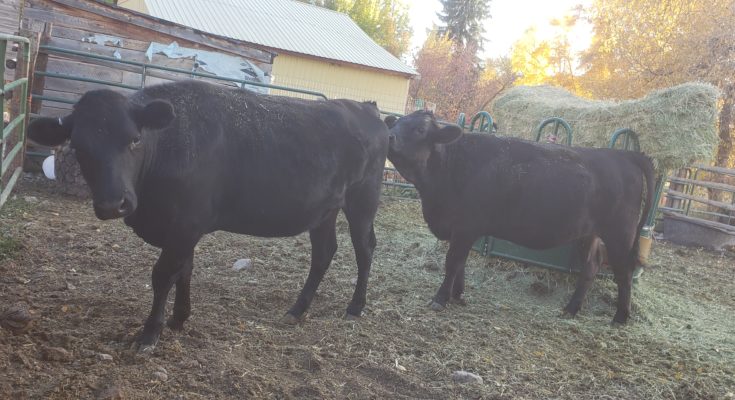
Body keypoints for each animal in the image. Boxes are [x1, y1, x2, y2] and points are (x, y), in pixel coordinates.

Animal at [27, 80, 390, 351]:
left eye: (134, 139)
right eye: (78, 147)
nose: (112, 204)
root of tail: (366, 107)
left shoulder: (186, 223)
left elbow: (164, 274)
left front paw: (150, 333)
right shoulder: (182, 229)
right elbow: (184, 270)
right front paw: (179, 318)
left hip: (362, 200)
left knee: (365, 249)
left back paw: (355, 307)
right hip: (324, 210)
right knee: (324, 253)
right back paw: (296, 310)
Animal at [384, 111, 654, 324]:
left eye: (420, 129)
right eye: (396, 123)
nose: (389, 136)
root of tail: (625, 155)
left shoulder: (464, 227)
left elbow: (452, 262)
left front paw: (441, 298)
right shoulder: (462, 231)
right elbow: (461, 264)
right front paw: (458, 295)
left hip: (620, 234)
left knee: (624, 273)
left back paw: (620, 317)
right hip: (589, 233)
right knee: (591, 266)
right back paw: (571, 309)